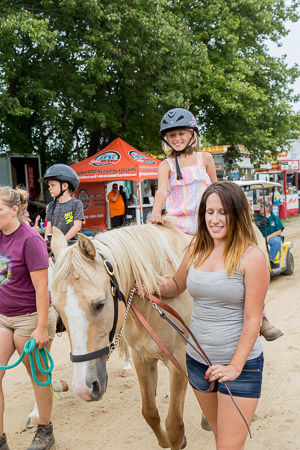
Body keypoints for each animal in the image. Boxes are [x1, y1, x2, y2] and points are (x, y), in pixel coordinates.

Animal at [51, 223, 192, 448]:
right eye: (56, 308)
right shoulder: (142, 358)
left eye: (99, 304)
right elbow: (150, 412)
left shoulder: (179, 361)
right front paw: (163, 442)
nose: (83, 388)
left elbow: (175, 426)